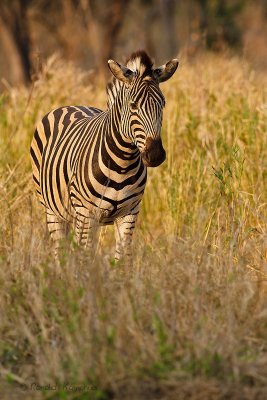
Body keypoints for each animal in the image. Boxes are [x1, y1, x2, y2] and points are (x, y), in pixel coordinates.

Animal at [30, 50, 179, 262]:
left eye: (163, 104)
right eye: (133, 105)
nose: (155, 154)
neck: (123, 163)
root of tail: (70, 106)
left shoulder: (130, 213)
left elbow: (123, 257)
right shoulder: (86, 214)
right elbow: (85, 257)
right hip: (53, 210)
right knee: (60, 250)